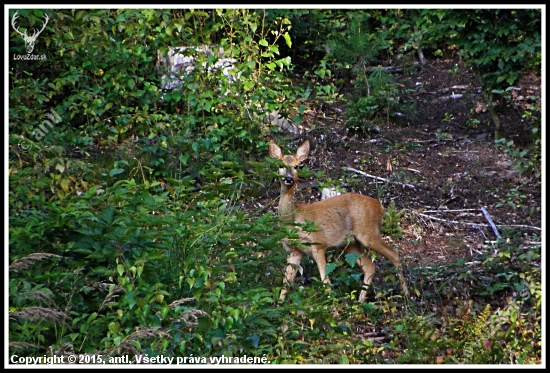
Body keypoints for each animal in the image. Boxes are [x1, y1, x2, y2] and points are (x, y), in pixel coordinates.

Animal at [270, 138, 410, 300]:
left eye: (297, 166)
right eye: (280, 165)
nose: (288, 179)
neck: (294, 217)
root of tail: (380, 207)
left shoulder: (318, 244)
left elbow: (326, 282)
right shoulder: (293, 251)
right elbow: (285, 285)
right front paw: (279, 304)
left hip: (368, 233)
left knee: (394, 255)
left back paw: (407, 296)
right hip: (350, 244)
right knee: (370, 266)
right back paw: (361, 301)